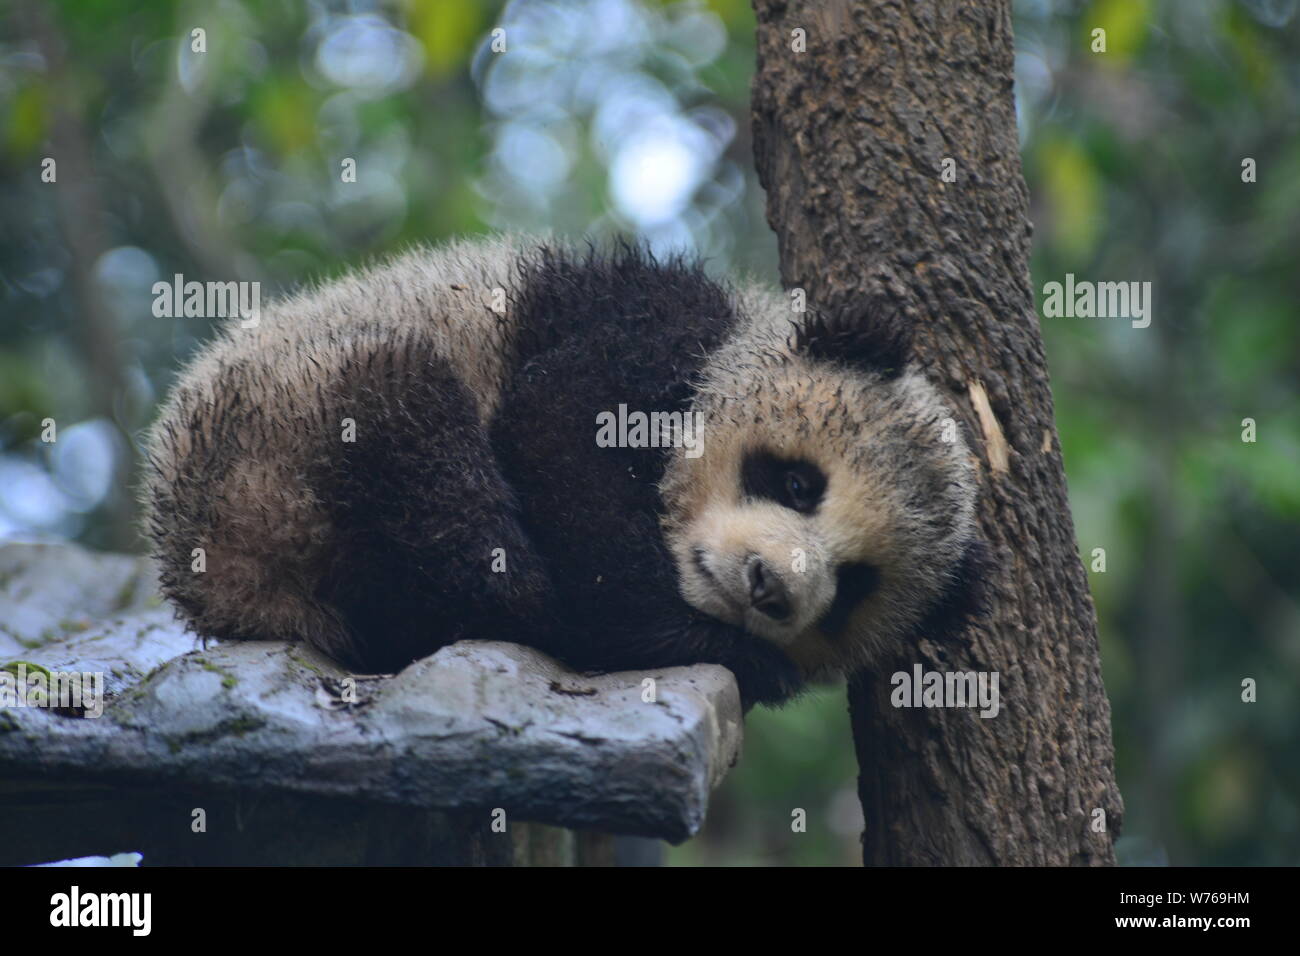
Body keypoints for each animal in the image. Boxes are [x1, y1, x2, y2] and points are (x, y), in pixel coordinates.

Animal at [143, 235, 985, 708]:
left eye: (853, 588)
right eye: (799, 484)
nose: (769, 588)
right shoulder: (649, 326)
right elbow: (556, 431)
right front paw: (698, 639)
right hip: (283, 428)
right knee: (417, 445)